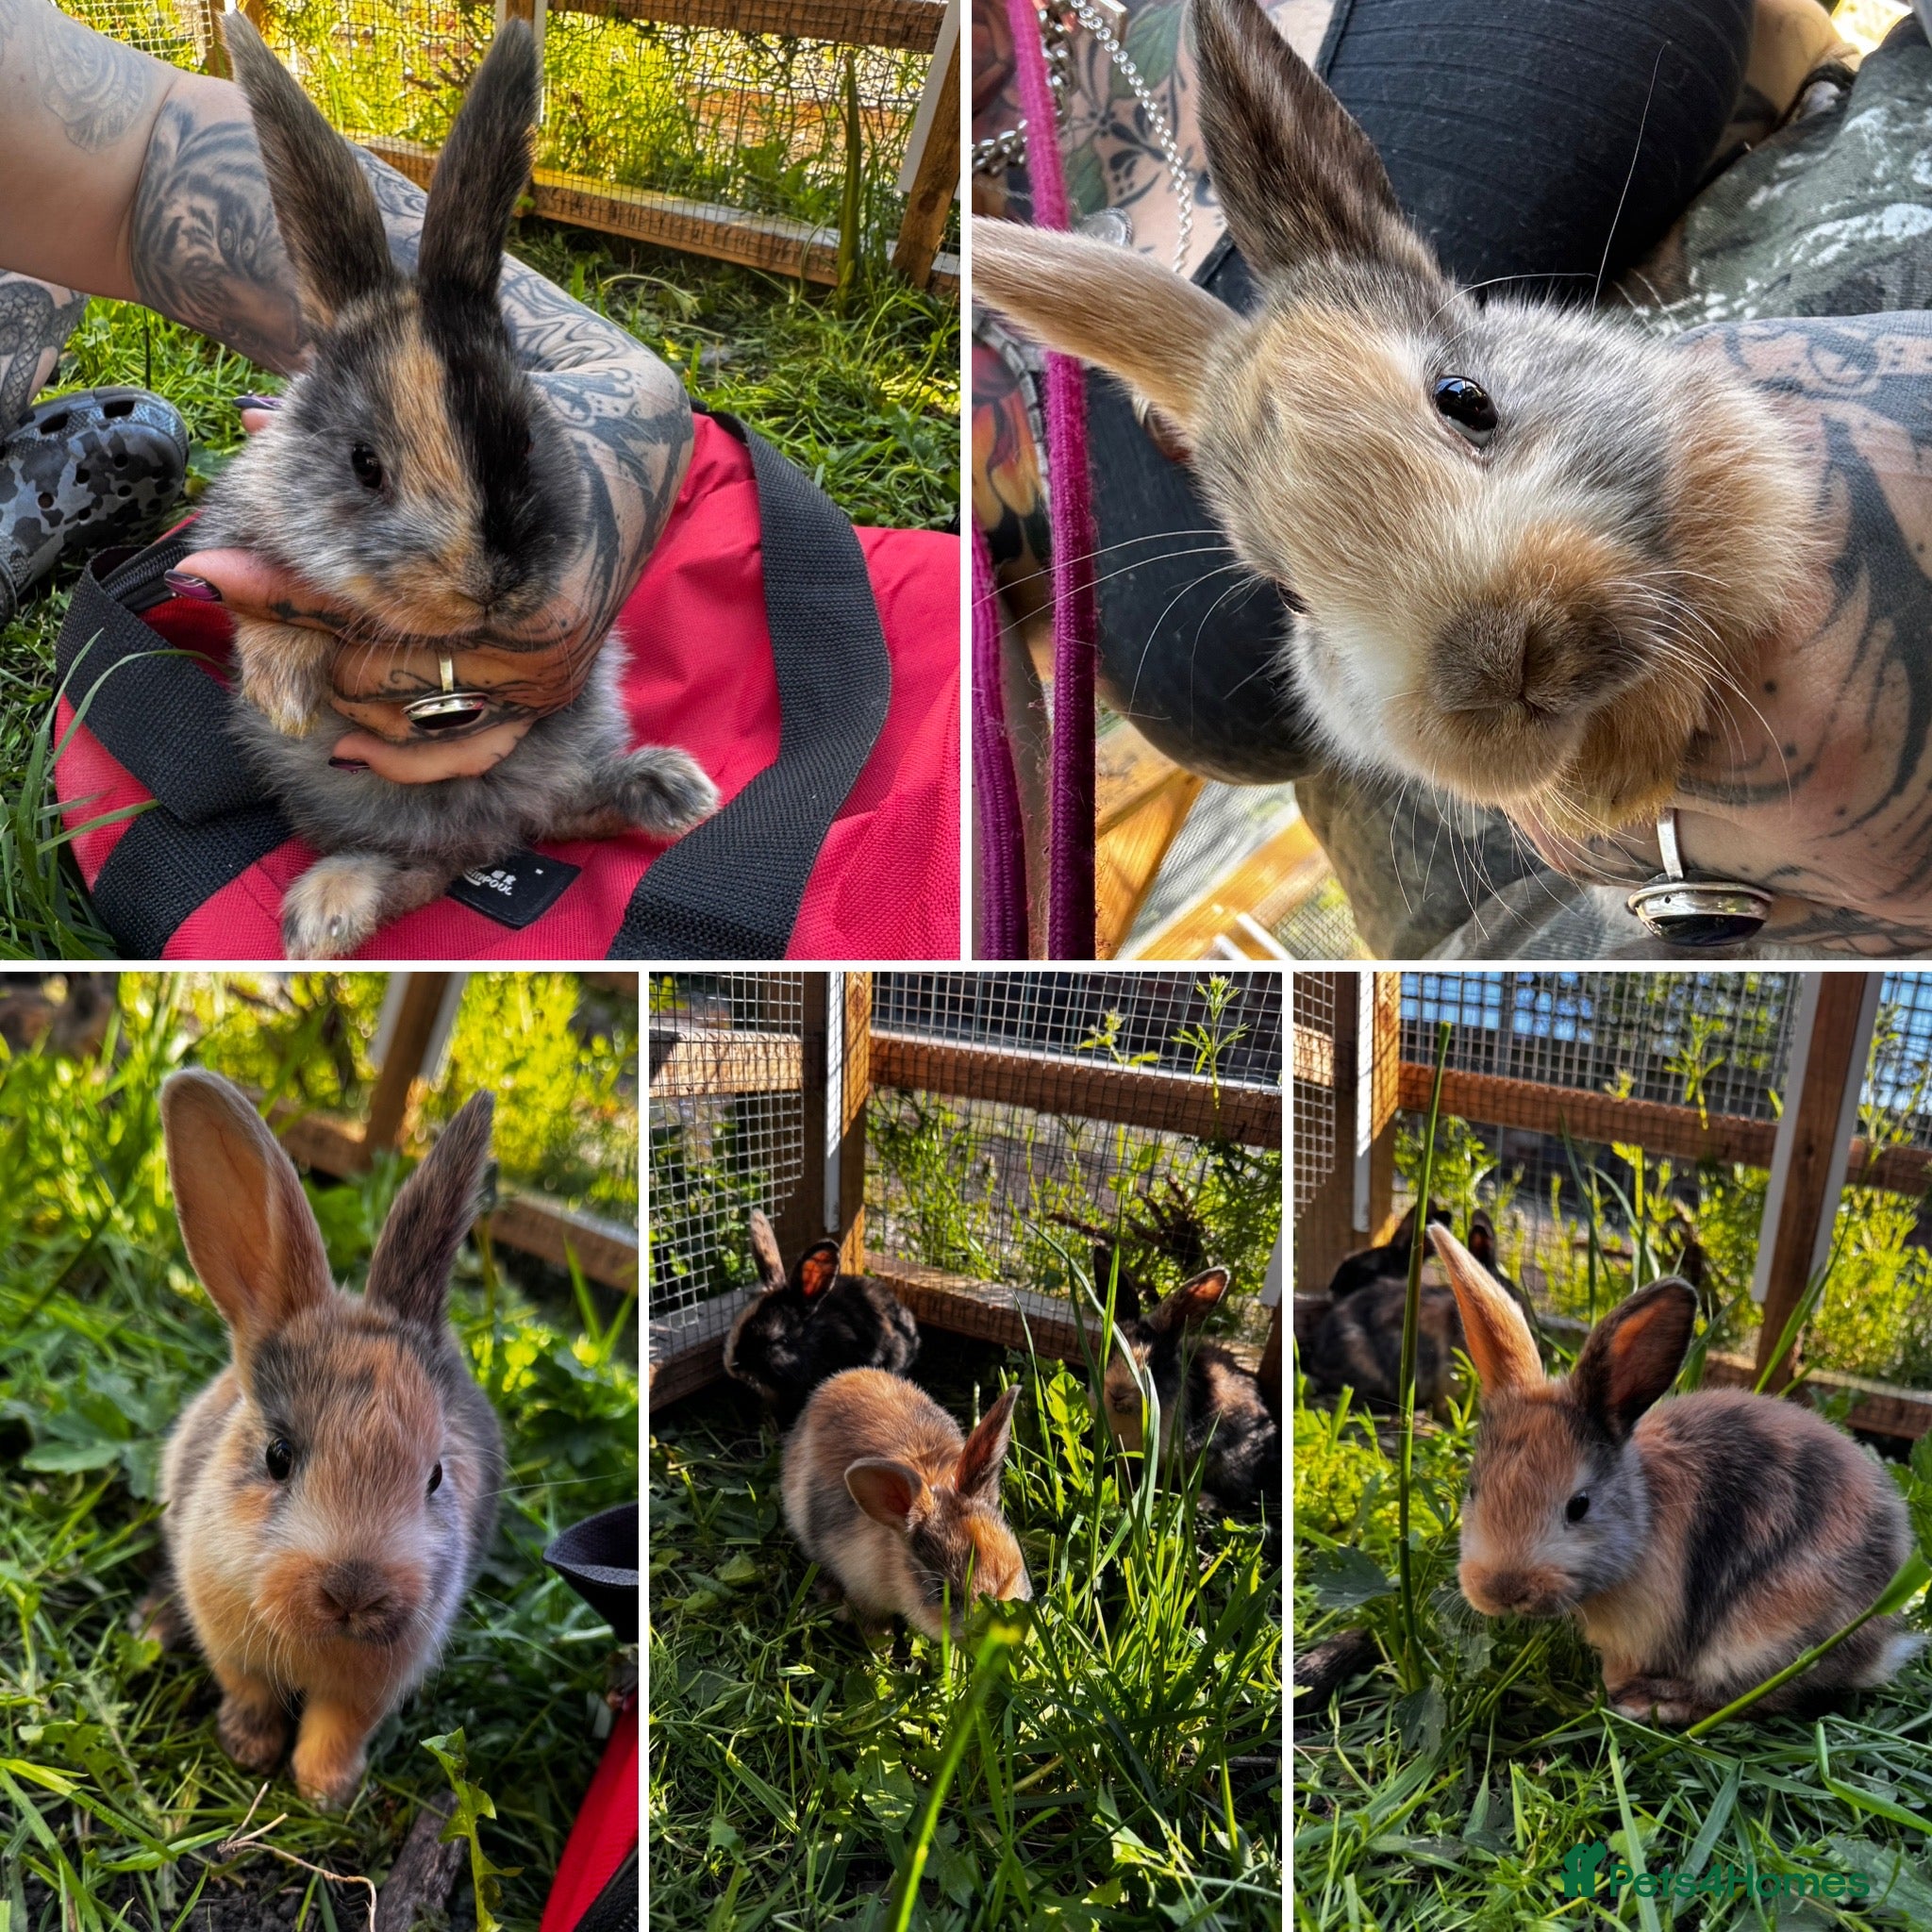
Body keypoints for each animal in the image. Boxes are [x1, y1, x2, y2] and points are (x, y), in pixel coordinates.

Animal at [136, 1070, 504, 1809]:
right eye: (278, 1457)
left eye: (435, 1477)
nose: (354, 1592)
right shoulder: (232, 1645)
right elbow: (250, 1692)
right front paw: (250, 1750)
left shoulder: (369, 1689)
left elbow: (337, 1728)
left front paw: (323, 1791)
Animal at [201, 16, 715, 959]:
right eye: (364, 464)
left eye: (529, 438)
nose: (493, 585)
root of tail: (482, 839)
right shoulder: (234, 543)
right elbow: (266, 623)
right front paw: (286, 698)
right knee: (414, 872)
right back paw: (324, 913)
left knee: (558, 814)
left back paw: (669, 791)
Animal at [1429, 1223, 1921, 1724]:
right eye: (1473, 1489)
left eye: (1579, 1505)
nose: (1502, 1590)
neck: (1641, 1521)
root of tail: (1878, 1646)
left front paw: (1615, 1694)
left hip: (1770, 1635)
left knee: (1765, 1696)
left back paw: (1658, 1703)